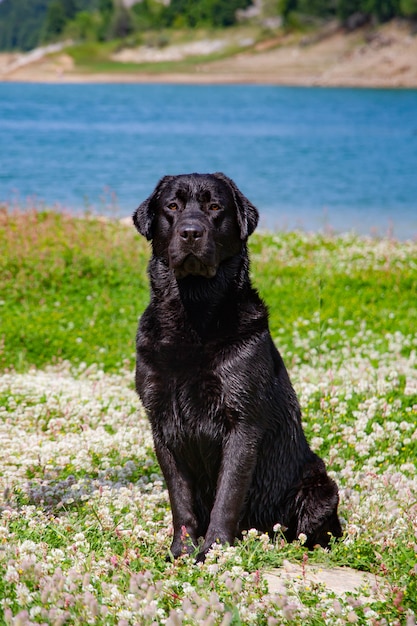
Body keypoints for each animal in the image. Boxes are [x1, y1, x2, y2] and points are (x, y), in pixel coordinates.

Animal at [133, 172, 342, 560]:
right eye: (172, 206)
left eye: (215, 207)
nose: (190, 233)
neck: (194, 314)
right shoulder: (162, 424)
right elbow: (179, 498)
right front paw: (181, 551)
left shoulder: (242, 422)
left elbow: (227, 496)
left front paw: (213, 551)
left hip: (320, 487)